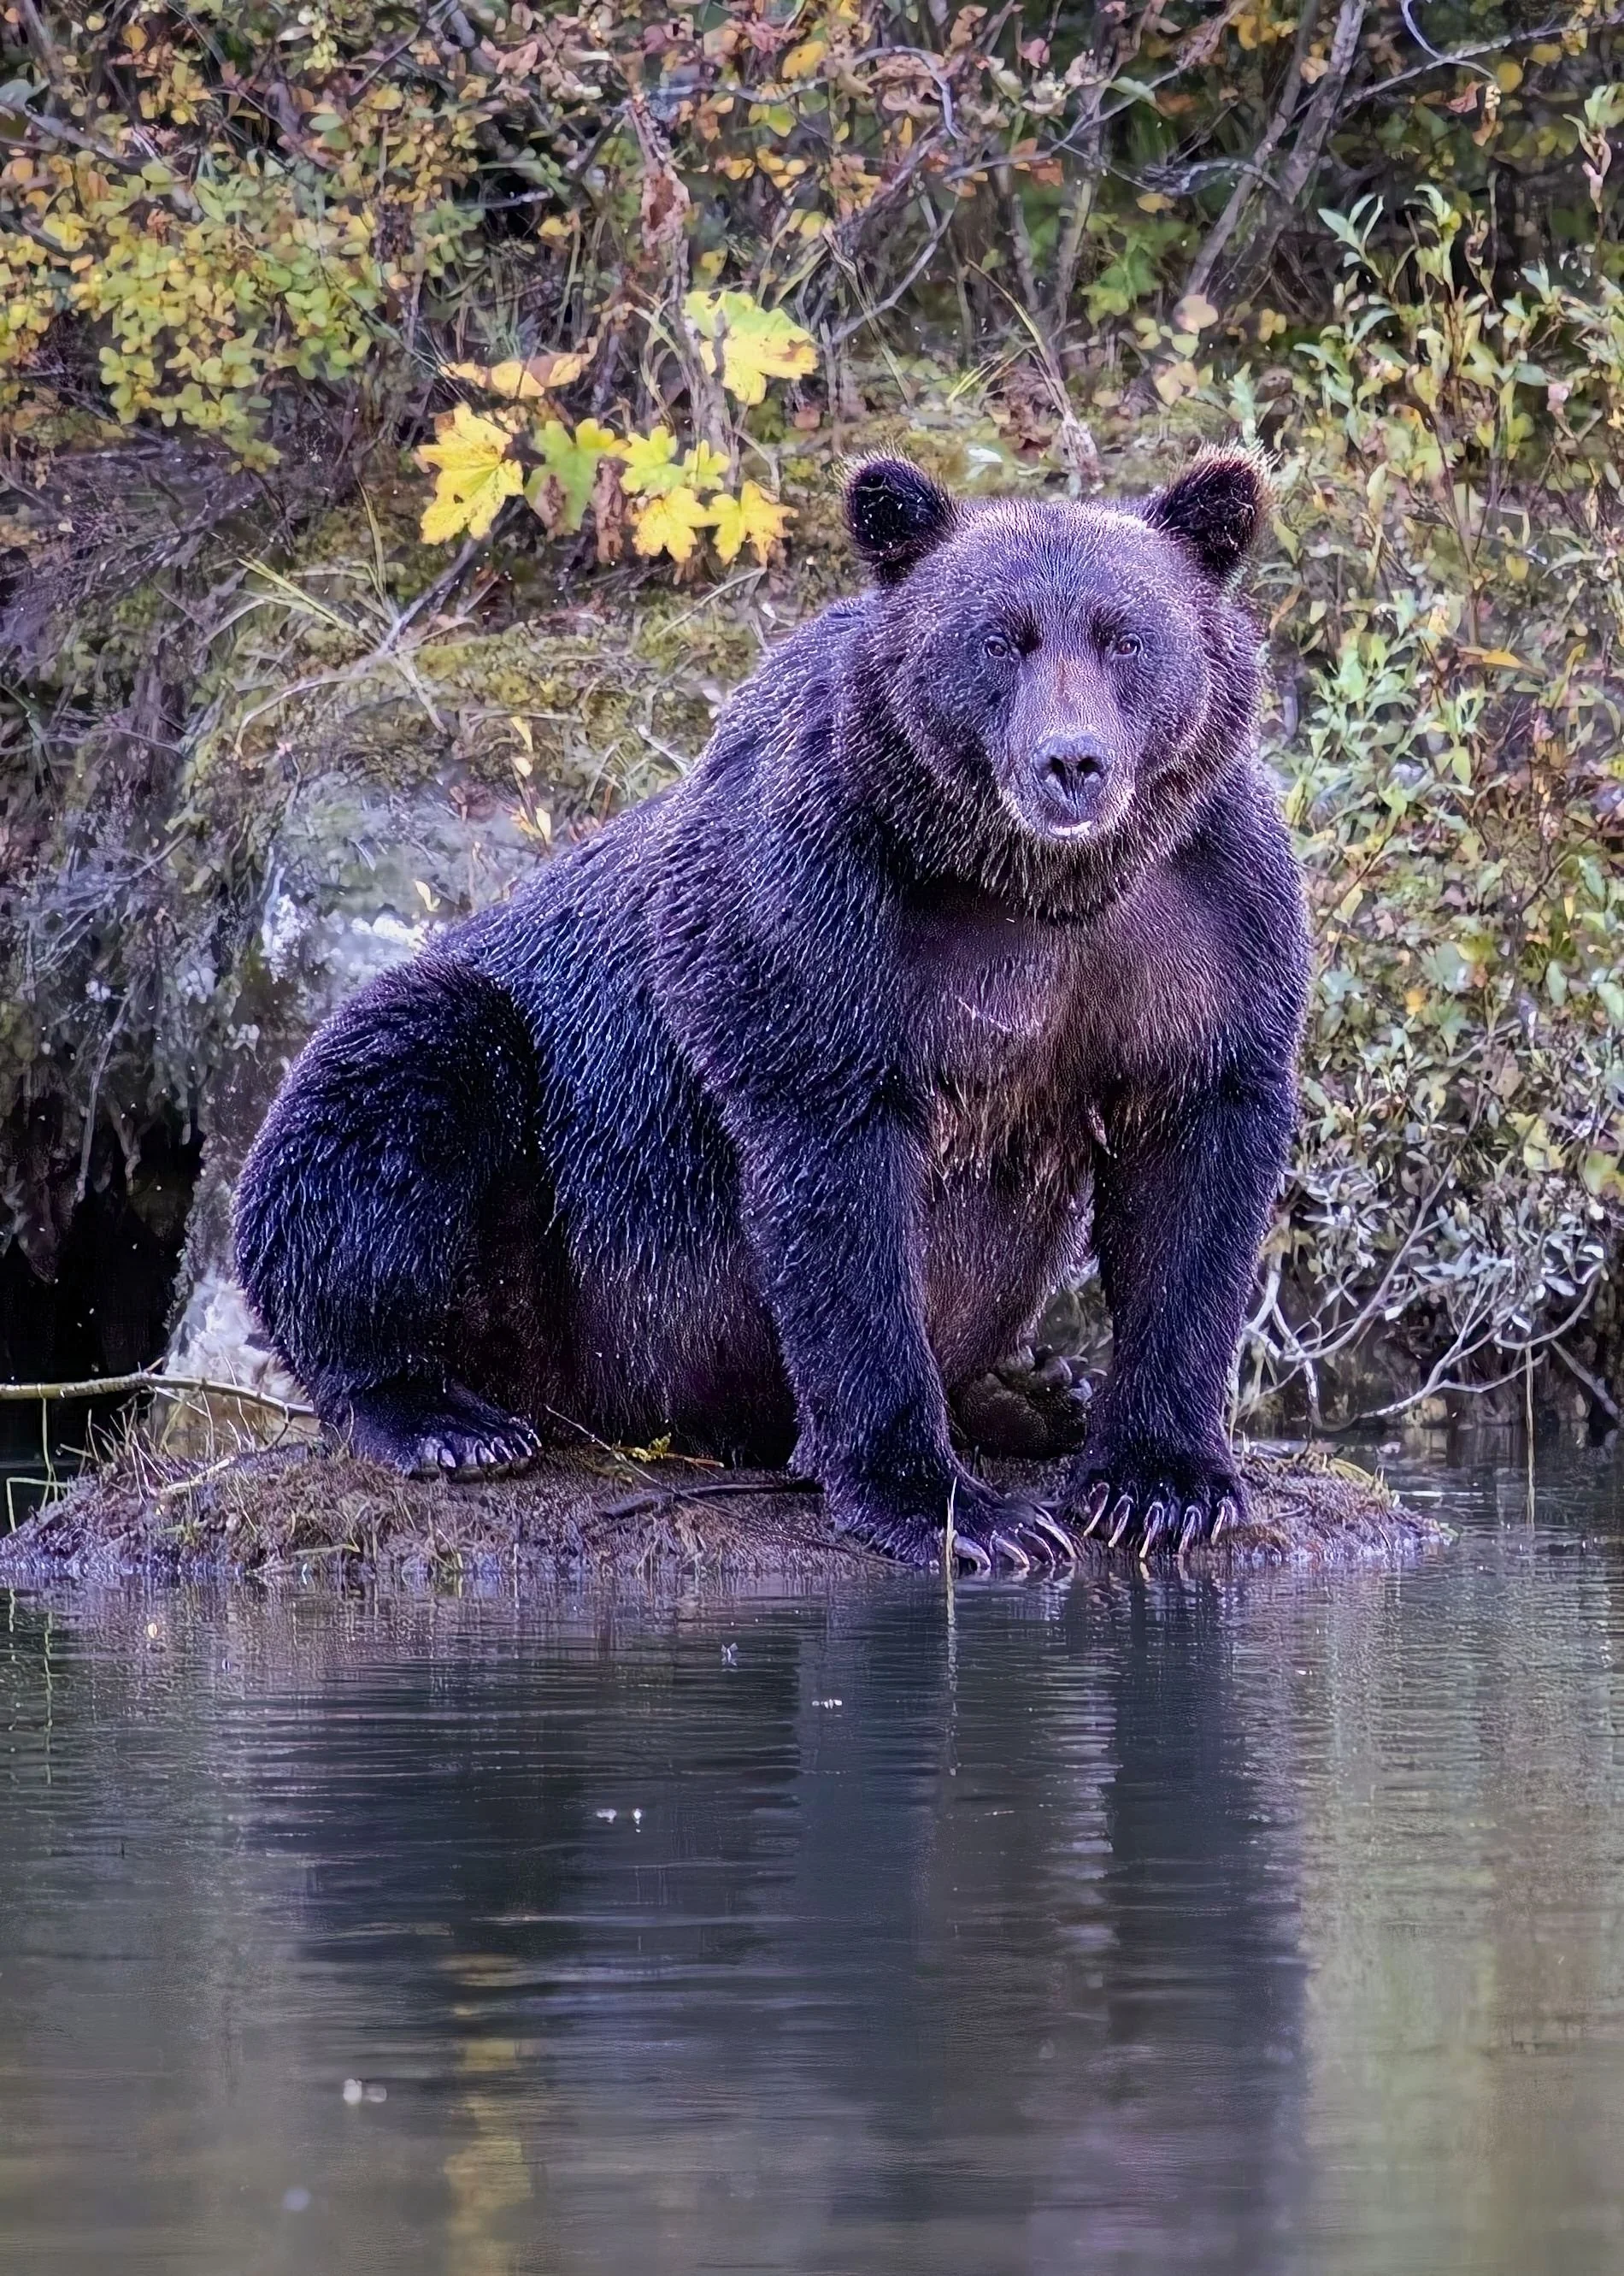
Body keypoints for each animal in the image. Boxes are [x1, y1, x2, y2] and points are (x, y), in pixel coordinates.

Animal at [234, 450, 1309, 1571]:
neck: (1036, 888)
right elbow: (838, 1203)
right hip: (543, 1203)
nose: (1071, 763)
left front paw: (1161, 1483)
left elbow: (1195, 1176)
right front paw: (950, 1506)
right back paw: (436, 1415)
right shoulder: (816, 917)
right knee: (395, 1091)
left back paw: (1033, 1390)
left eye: (1124, 636)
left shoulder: (1204, 920)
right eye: (998, 639)